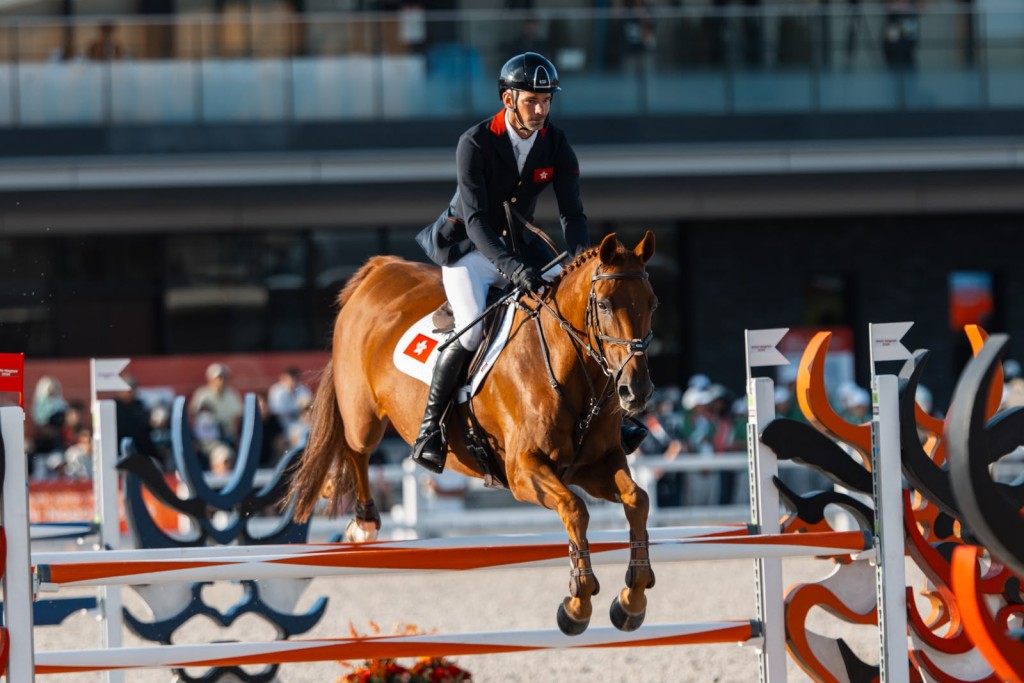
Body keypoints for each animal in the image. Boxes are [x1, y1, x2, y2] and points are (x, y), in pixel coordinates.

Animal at [287, 231, 658, 635]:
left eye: (652, 302)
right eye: (603, 304)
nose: (636, 391)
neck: (567, 367)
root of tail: (381, 269)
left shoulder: (595, 465)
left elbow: (637, 499)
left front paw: (632, 599)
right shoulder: (522, 471)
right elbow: (575, 509)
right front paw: (577, 604)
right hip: (363, 414)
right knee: (356, 450)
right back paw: (365, 523)